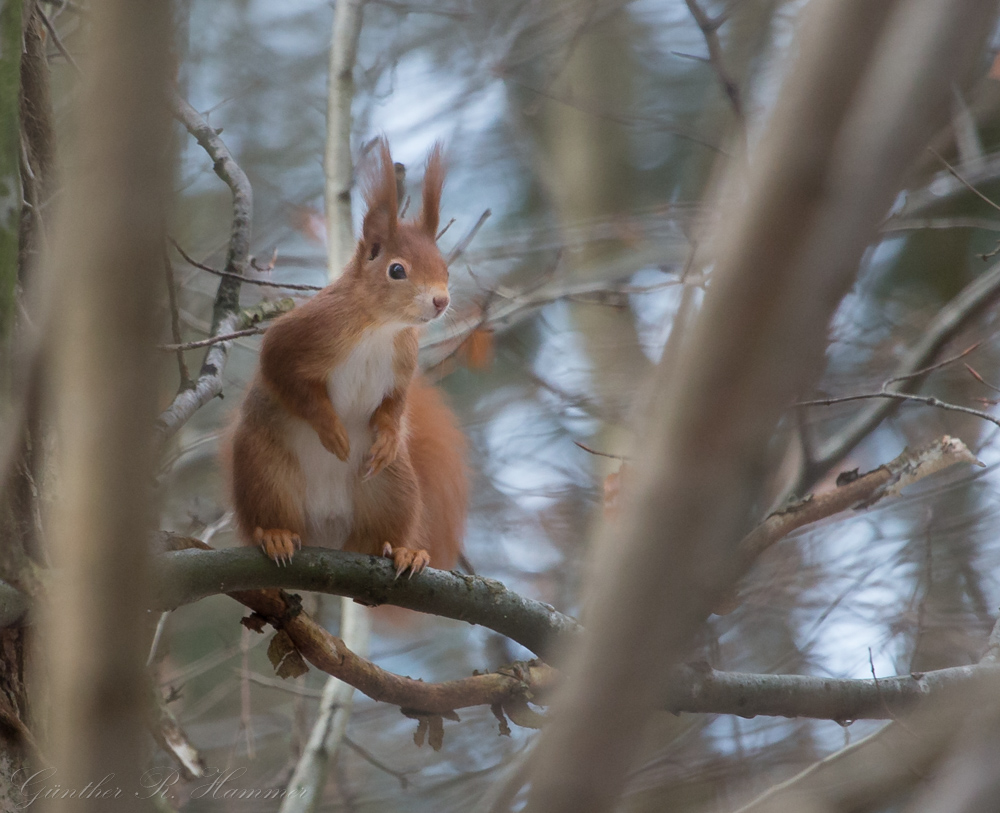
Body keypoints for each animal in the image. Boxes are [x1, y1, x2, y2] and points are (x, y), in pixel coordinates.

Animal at [230, 140, 468, 576]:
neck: (380, 328)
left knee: (377, 538)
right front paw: (332, 430)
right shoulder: (304, 333)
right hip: (265, 471)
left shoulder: (402, 363)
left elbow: (394, 404)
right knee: (268, 515)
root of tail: (327, 537)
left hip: (393, 488)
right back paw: (275, 535)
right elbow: (283, 373)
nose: (441, 301)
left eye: (445, 268)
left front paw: (388, 436)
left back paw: (402, 552)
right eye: (396, 270)